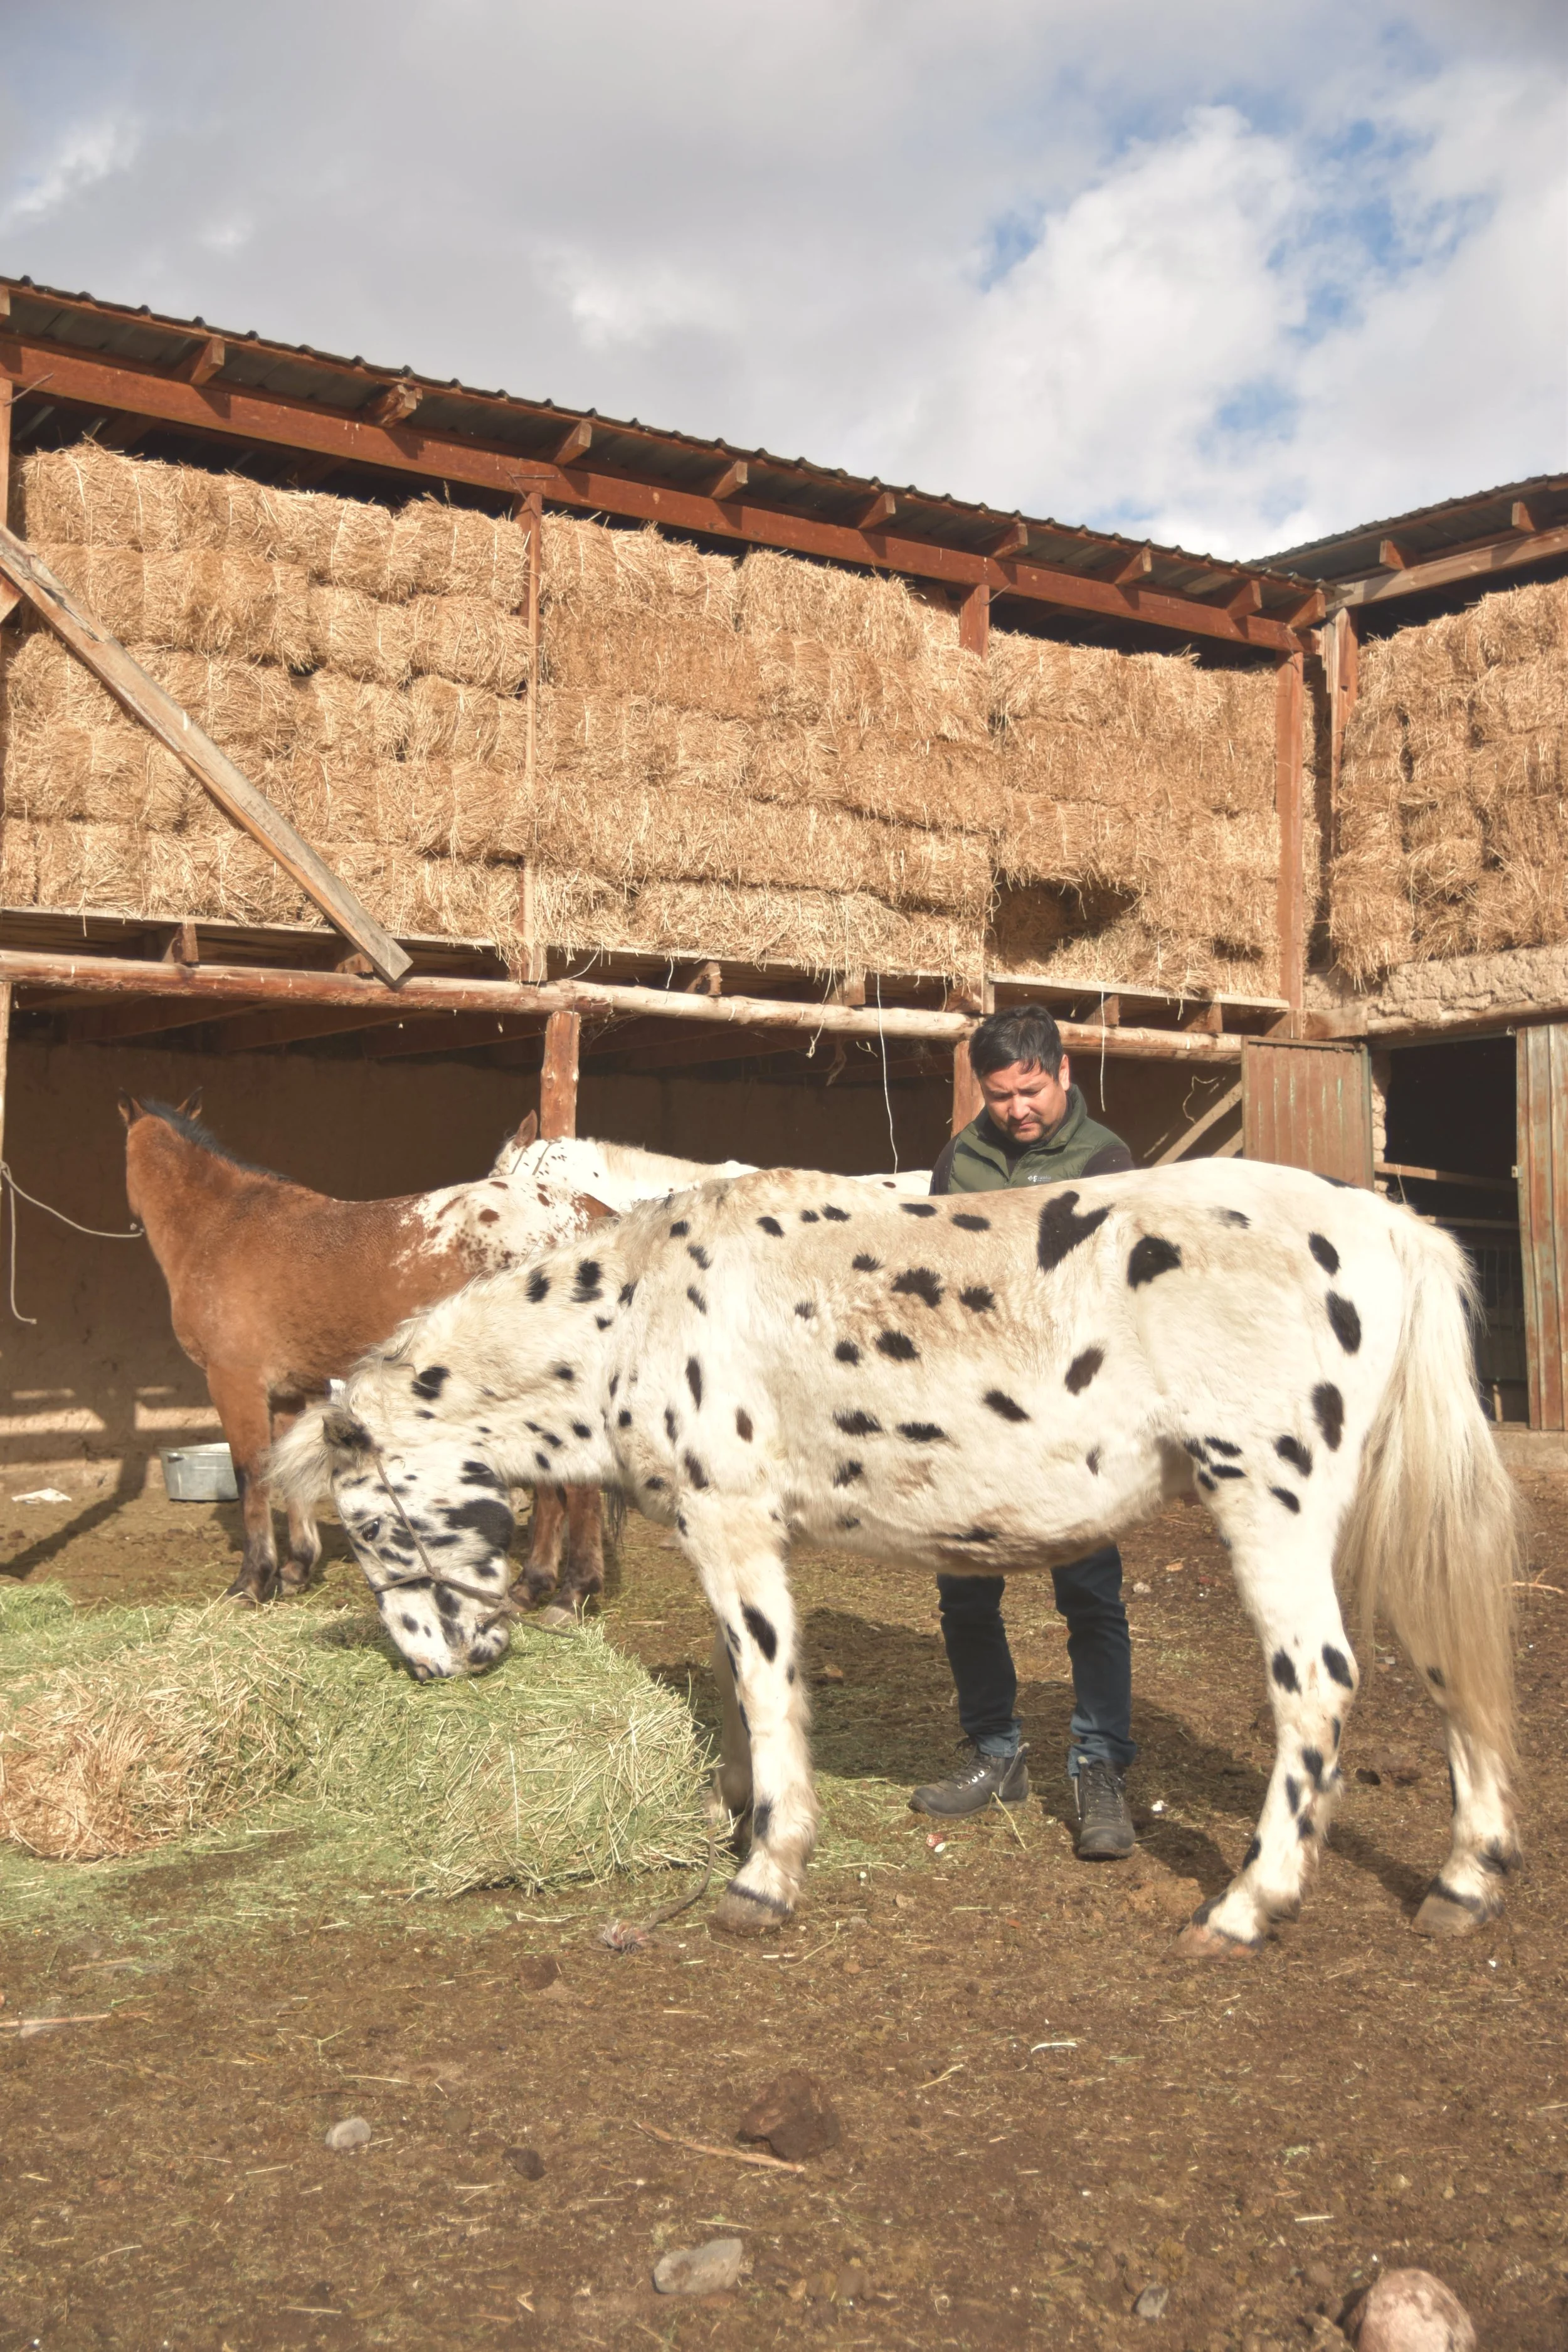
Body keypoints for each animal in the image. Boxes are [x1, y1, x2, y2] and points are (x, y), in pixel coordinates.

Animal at [123, 1094, 754, 1606]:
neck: (224, 1227)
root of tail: (592, 1214)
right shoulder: (288, 1392)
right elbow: (286, 1475)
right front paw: (297, 1571)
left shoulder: (235, 1384)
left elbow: (251, 1477)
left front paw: (252, 1581)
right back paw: (536, 1586)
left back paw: (570, 1594)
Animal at [275, 1156, 1521, 1958]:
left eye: (373, 1526)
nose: (441, 1666)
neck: (634, 1312)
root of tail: (1384, 1227)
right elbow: (735, 1683)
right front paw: (735, 1811)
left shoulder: (733, 1527)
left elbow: (766, 1685)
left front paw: (766, 1873)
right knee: (1451, 1676)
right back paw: (1467, 1880)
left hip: (1270, 1500)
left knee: (1319, 1686)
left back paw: (1247, 1907)